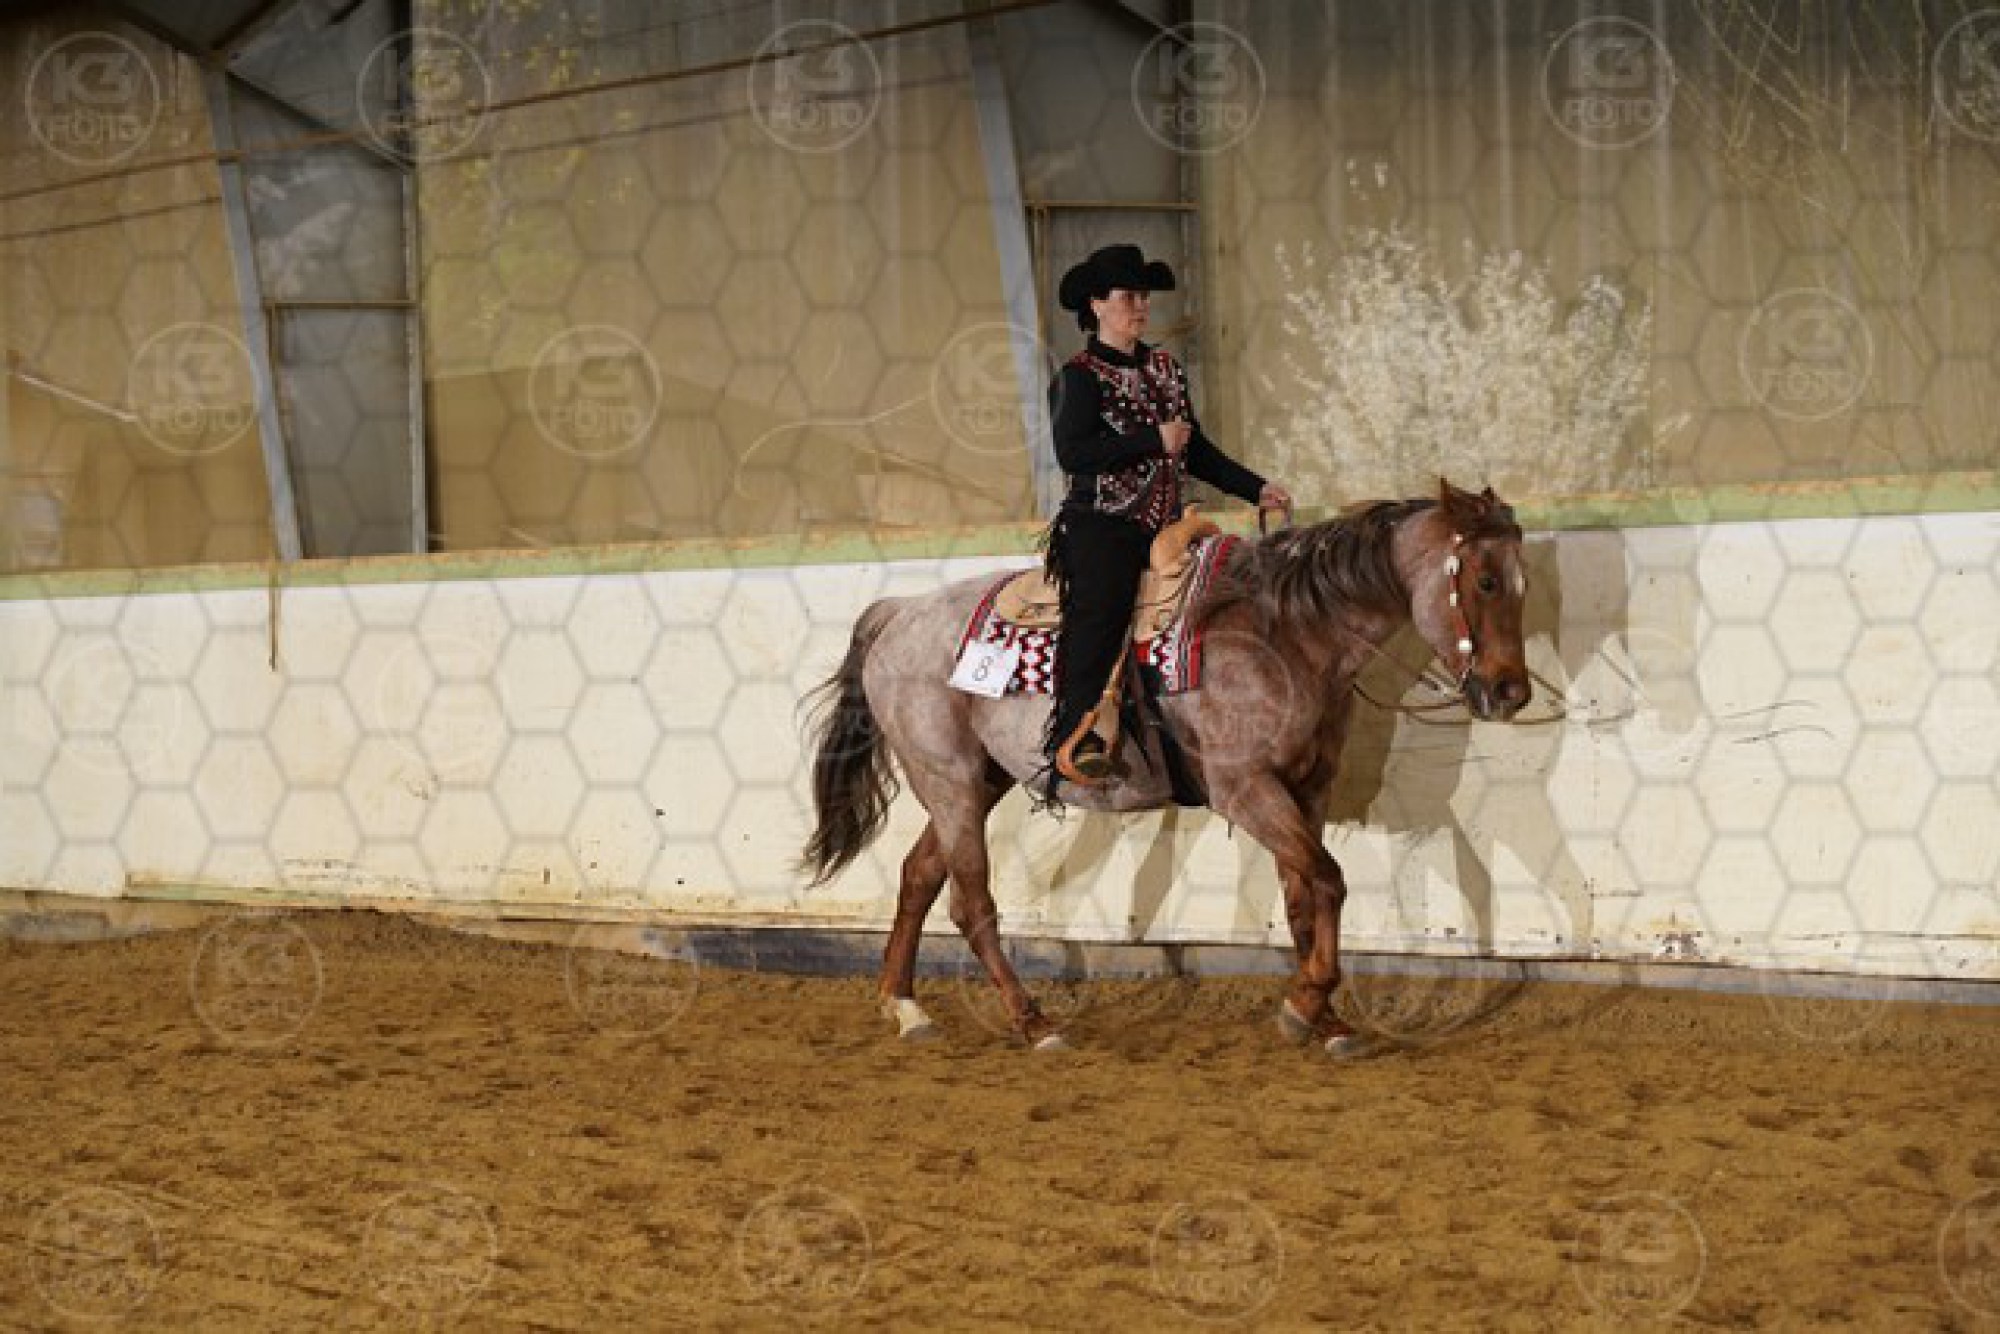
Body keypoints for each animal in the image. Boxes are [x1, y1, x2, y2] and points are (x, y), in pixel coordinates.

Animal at [800, 478, 1531, 1055]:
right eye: (1485, 580)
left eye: (1522, 584)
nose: (1511, 692)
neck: (1286, 633)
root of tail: (899, 614)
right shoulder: (1244, 789)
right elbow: (1328, 878)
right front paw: (1305, 1004)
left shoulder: (1308, 789)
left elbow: (1304, 895)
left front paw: (1325, 1020)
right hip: (948, 780)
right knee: (970, 901)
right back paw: (1034, 1023)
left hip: (978, 781)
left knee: (919, 876)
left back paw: (906, 1007)